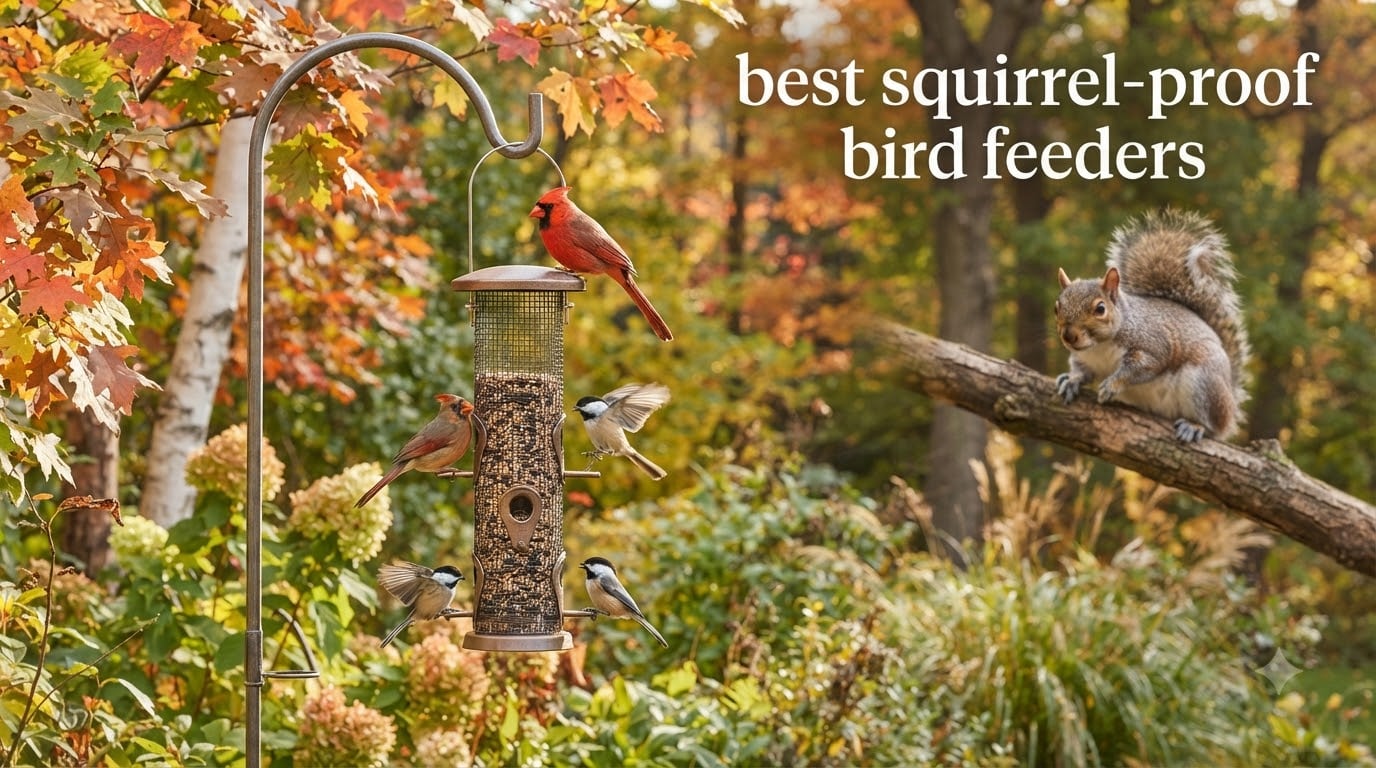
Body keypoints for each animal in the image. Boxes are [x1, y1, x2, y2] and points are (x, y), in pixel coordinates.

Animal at [1053, 209, 1251, 443]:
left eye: (1100, 309)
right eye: (1056, 307)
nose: (1069, 336)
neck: (1099, 347)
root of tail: (1231, 399)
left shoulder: (1154, 345)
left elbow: (1140, 368)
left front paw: (1112, 385)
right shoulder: (1084, 359)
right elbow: (1081, 371)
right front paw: (1071, 380)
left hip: (1204, 384)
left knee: (1214, 426)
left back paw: (1195, 426)